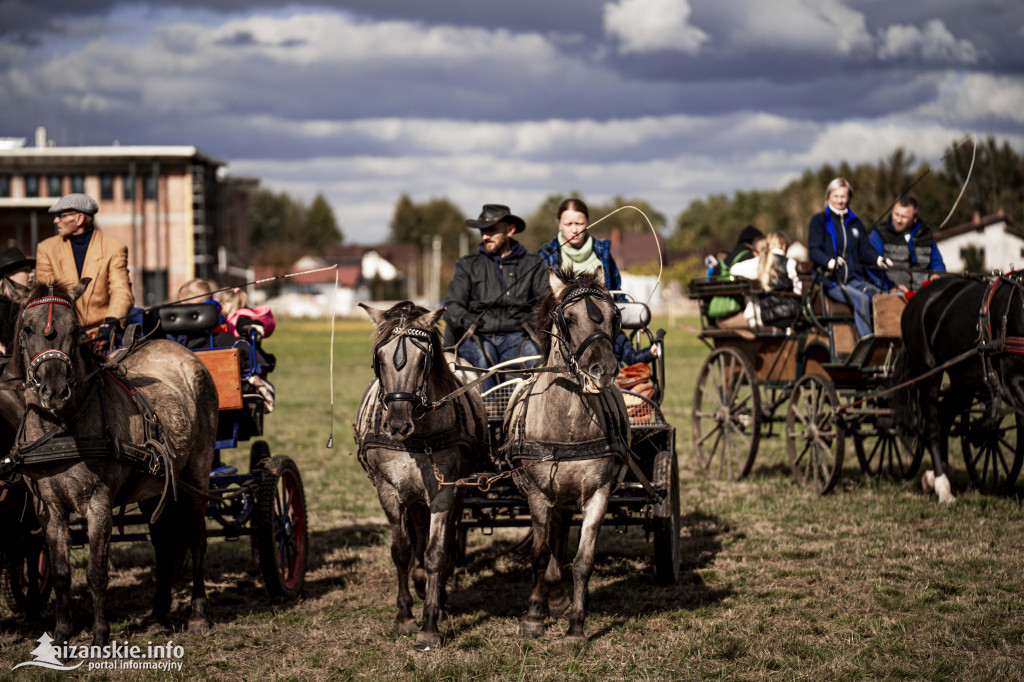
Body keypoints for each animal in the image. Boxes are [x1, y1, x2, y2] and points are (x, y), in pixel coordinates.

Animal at [7, 280, 218, 643]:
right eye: (27, 329)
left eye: (75, 330)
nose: (54, 390)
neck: (61, 429)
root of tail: (181, 351)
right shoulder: (48, 509)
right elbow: (61, 573)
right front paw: (61, 635)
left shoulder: (99, 503)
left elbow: (96, 572)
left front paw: (100, 636)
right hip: (154, 485)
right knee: (163, 544)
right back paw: (158, 614)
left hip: (197, 472)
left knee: (196, 538)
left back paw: (198, 614)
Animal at [354, 301, 489, 647]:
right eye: (379, 359)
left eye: (423, 359)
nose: (397, 424)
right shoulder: (389, 489)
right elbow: (401, 550)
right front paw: (404, 616)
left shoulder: (445, 490)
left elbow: (436, 552)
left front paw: (429, 623)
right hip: (413, 494)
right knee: (416, 529)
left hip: (456, 490)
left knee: (447, 534)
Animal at [499, 268, 626, 638]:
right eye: (568, 319)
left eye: (614, 316)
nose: (604, 369)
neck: (567, 426)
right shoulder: (538, 495)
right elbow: (540, 554)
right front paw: (532, 617)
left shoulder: (598, 494)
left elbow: (583, 561)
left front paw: (576, 625)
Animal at [892, 274, 1024, 501]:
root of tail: (916, 297)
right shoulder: (1013, 383)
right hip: (929, 373)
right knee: (932, 426)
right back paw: (942, 487)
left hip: (964, 380)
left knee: (945, 416)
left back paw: (934, 477)